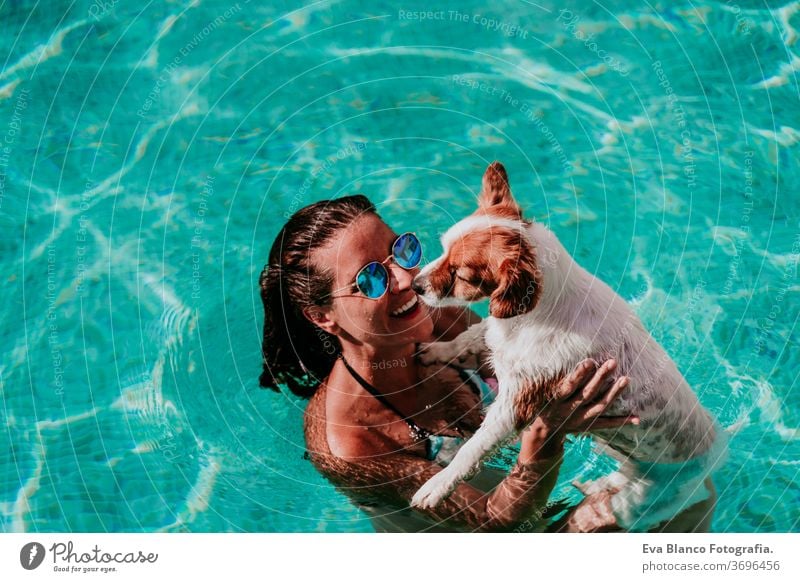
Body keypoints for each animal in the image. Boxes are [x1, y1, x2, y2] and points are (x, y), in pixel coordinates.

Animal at [412, 162, 724, 532]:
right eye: (442, 249)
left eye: (461, 275)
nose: (415, 285)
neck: (527, 319)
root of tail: (710, 467)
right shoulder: (495, 338)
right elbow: (466, 340)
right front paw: (435, 351)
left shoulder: (517, 403)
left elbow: (472, 448)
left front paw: (437, 485)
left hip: (632, 505)